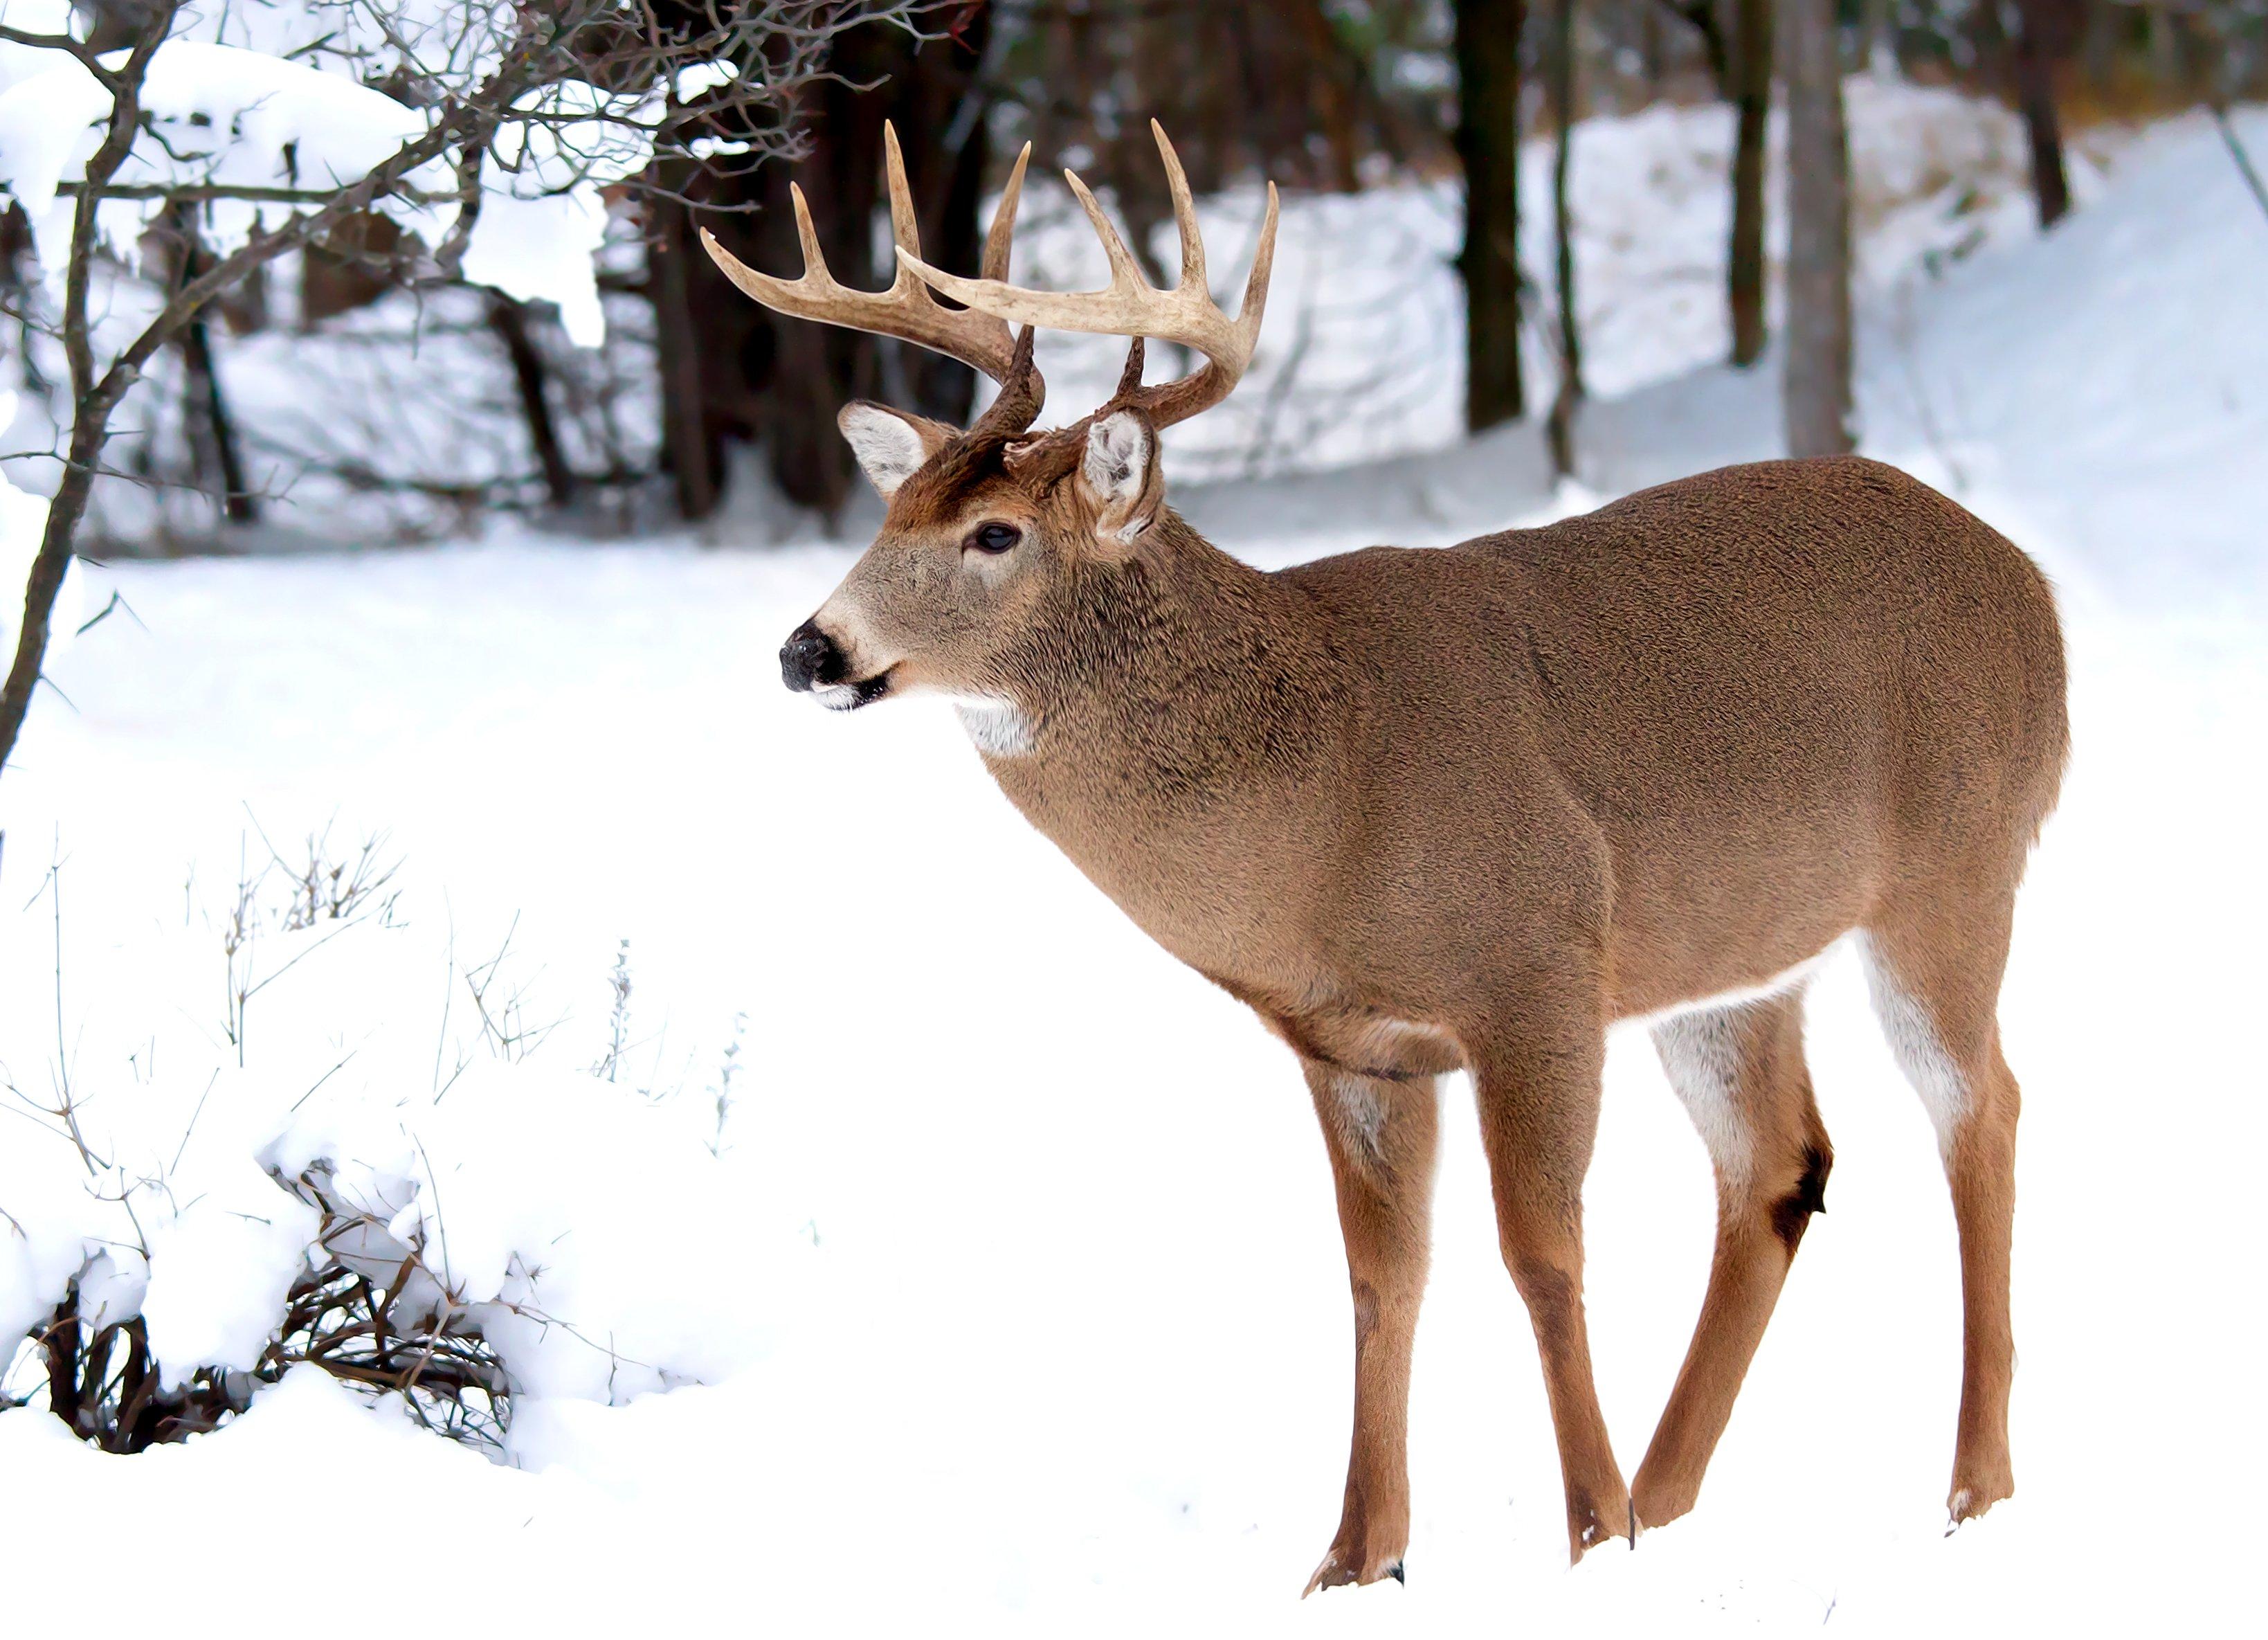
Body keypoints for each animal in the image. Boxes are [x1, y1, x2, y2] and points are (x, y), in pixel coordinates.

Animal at [707, 125, 2077, 1587]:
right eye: (890, 511)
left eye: (994, 531)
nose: (809, 649)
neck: (1325, 802)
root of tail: (2033, 595)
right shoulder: (1351, 1043)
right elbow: (1381, 1278)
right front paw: (1358, 1557)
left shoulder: (1536, 967)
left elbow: (1539, 1252)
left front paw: (1583, 1533)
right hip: (1729, 961)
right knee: (1778, 1163)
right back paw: (1670, 1501)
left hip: (1955, 866)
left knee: (1980, 1106)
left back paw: (1967, 1487)